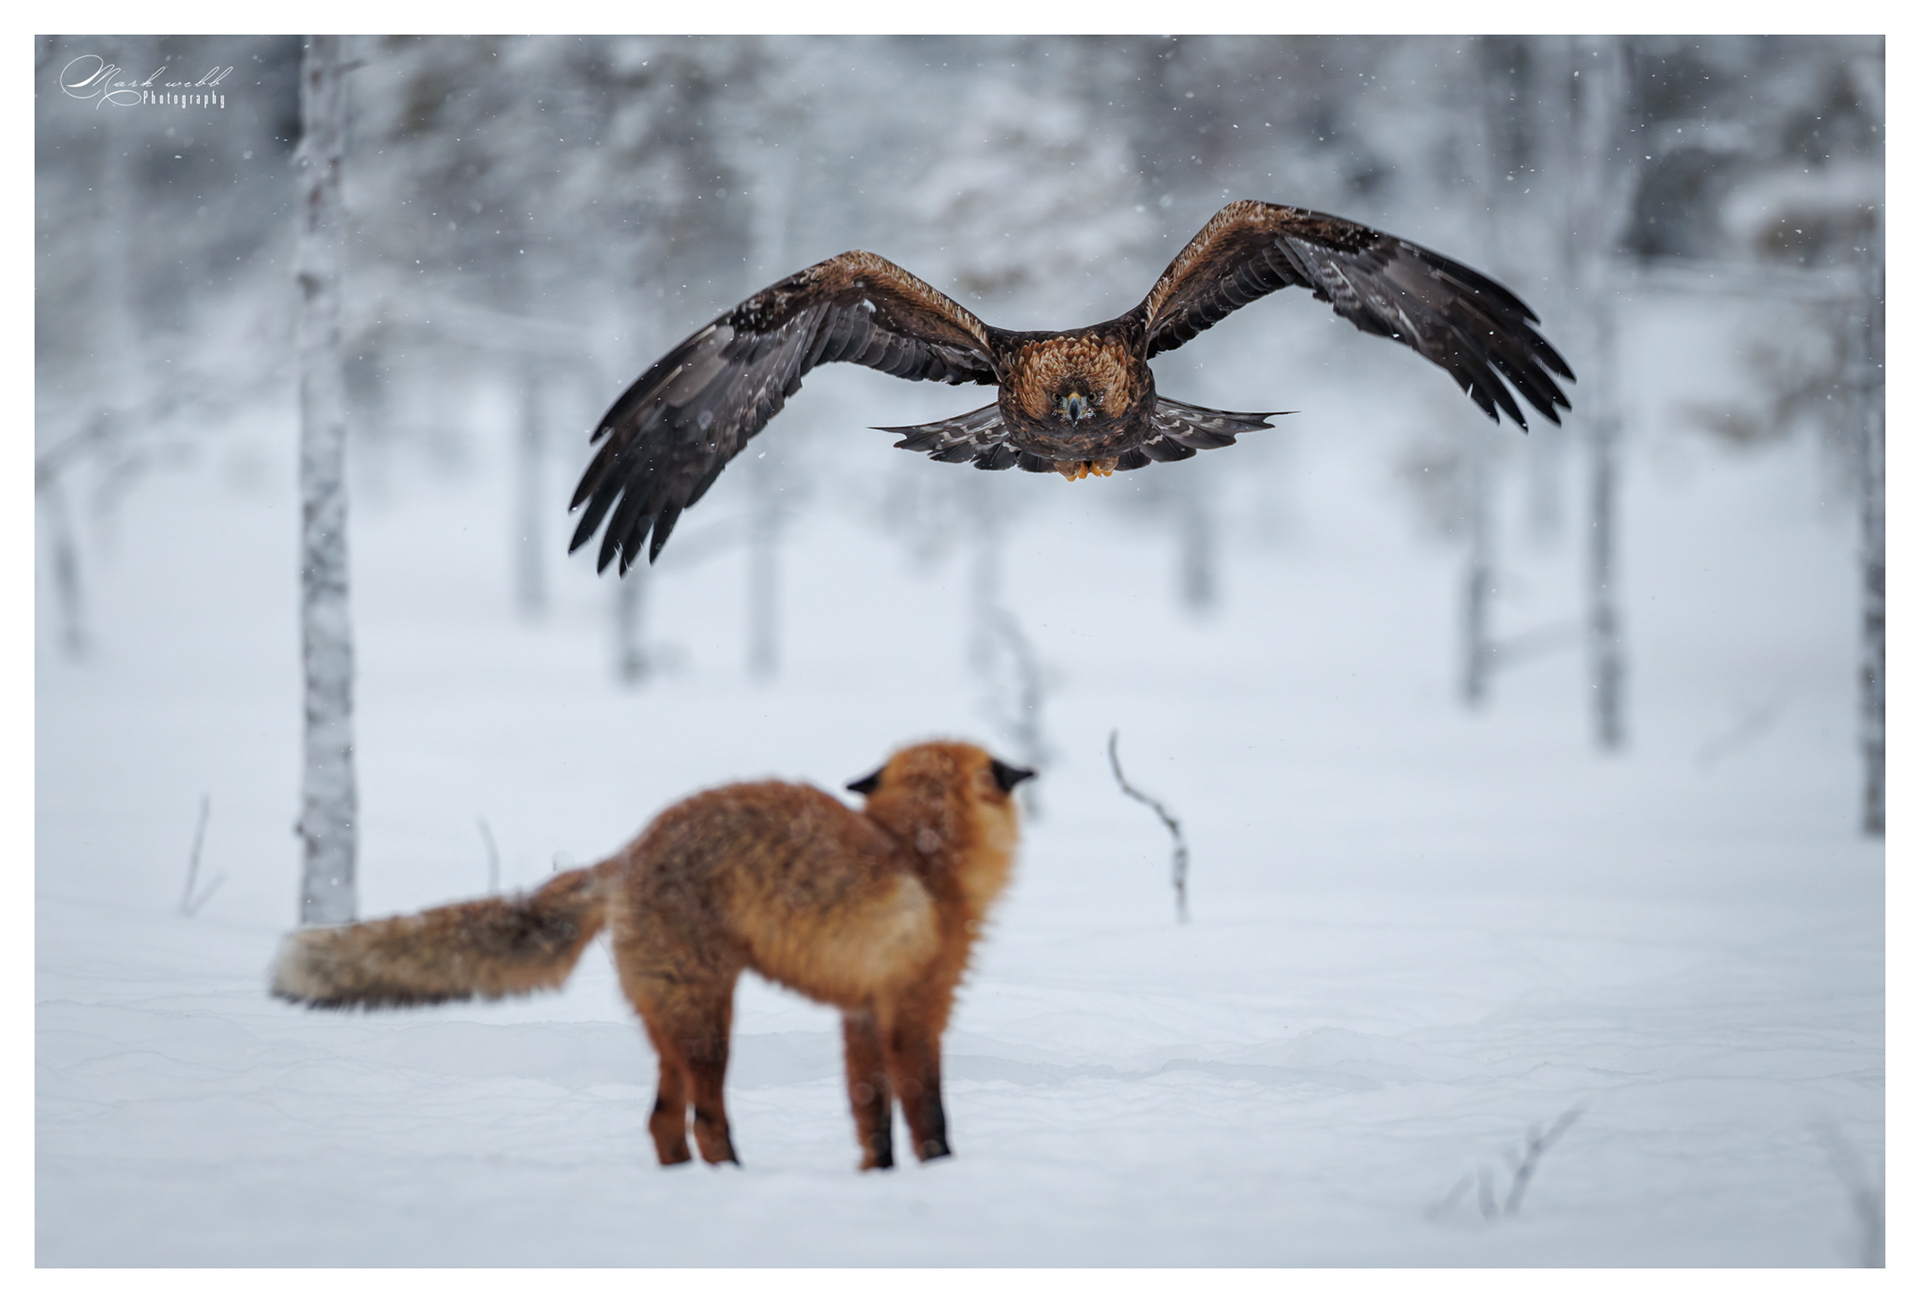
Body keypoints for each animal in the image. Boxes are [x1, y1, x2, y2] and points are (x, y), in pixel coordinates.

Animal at [270, 740, 1035, 1170]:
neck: (924, 852)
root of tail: (629, 852)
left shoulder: (861, 1017)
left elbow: (869, 1118)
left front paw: (878, 1179)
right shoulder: (915, 1012)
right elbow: (928, 1114)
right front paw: (943, 1174)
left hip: (673, 1028)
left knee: (662, 1121)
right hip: (709, 1027)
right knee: (705, 1119)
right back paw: (733, 1181)